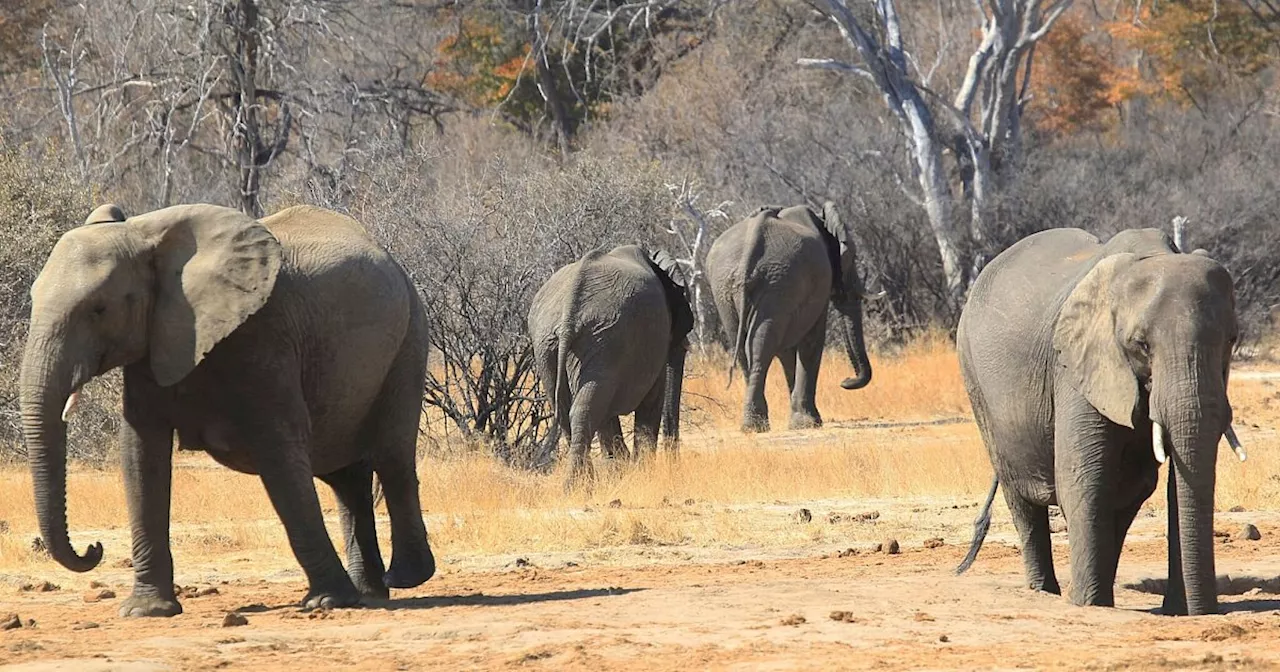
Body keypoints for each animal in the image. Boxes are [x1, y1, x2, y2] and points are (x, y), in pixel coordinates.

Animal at [20, 202, 437, 616]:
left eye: (99, 309)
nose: (94, 549)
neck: (144, 234)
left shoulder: (263, 335)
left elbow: (279, 451)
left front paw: (327, 601)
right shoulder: (154, 342)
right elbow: (141, 454)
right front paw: (146, 610)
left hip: (410, 336)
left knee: (392, 456)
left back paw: (402, 578)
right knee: (345, 477)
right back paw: (370, 592)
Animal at [527, 243, 696, 483]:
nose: (674, 468)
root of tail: (569, 313)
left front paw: (622, 469)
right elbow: (652, 400)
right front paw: (639, 473)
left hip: (552, 344)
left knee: (570, 408)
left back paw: (582, 483)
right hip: (605, 339)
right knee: (586, 408)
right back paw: (581, 484)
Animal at [706, 199, 885, 432]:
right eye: (852, 257)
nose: (845, 381)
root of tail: (747, 254)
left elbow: (787, 349)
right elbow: (811, 341)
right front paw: (809, 423)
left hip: (728, 288)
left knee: (745, 346)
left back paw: (753, 425)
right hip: (777, 283)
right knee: (761, 346)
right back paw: (757, 426)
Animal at [957, 227, 1244, 616]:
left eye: (1231, 340)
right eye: (1141, 345)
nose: (1208, 611)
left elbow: (1172, 483)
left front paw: (1175, 611)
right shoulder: (1076, 365)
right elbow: (1083, 477)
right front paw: (1085, 605)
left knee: (1128, 491)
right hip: (974, 378)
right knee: (1020, 494)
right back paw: (1046, 592)